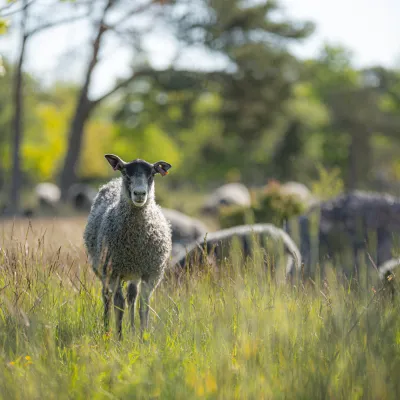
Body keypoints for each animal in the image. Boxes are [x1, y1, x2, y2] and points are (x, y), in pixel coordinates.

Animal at [83, 155, 172, 340]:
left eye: (152, 174)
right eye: (125, 172)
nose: (139, 194)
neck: (134, 243)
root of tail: (113, 182)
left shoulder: (150, 273)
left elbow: (143, 306)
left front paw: (143, 337)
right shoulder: (114, 271)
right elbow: (119, 305)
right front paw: (119, 338)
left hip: (133, 273)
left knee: (132, 296)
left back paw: (132, 329)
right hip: (103, 270)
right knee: (107, 297)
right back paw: (106, 329)